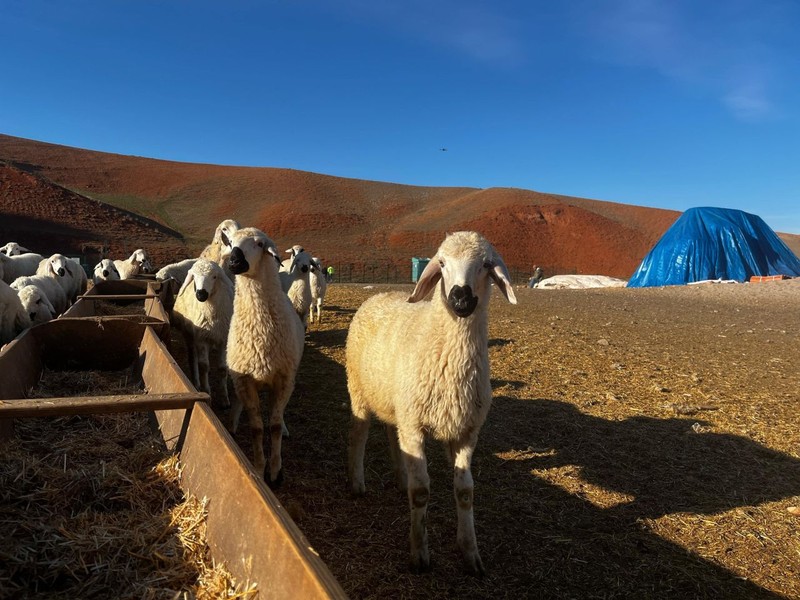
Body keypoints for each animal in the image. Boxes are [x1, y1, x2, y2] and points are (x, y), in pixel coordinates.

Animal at [169, 258, 231, 408]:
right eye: (194, 277)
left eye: (214, 277)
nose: (201, 294)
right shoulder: (201, 339)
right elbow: (204, 366)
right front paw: (207, 392)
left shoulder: (223, 339)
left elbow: (222, 368)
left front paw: (224, 399)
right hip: (190, 335)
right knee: (193, 358)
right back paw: (196, 383)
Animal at [227, 227, 304, 486]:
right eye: (230, 242)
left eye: (260, 244)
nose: (234, 260)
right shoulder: (244, 379)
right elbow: (257, 429)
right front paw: (260, 469)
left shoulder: (284, 379)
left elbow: (275, 426)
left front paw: (275, 471)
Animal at [346, 231, 520, 576]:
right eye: (441, 263)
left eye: (486, 265)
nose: (461, 299)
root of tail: (380, 294)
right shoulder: (415, 425)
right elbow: (422, 491)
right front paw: (419, 554)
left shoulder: (466, 432)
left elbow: (465, 491)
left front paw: (470, 553)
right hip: (358, 389)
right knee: (359, 433)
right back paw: (358, 482)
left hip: (396, 401)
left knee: (392, 434)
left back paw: (400, 478)